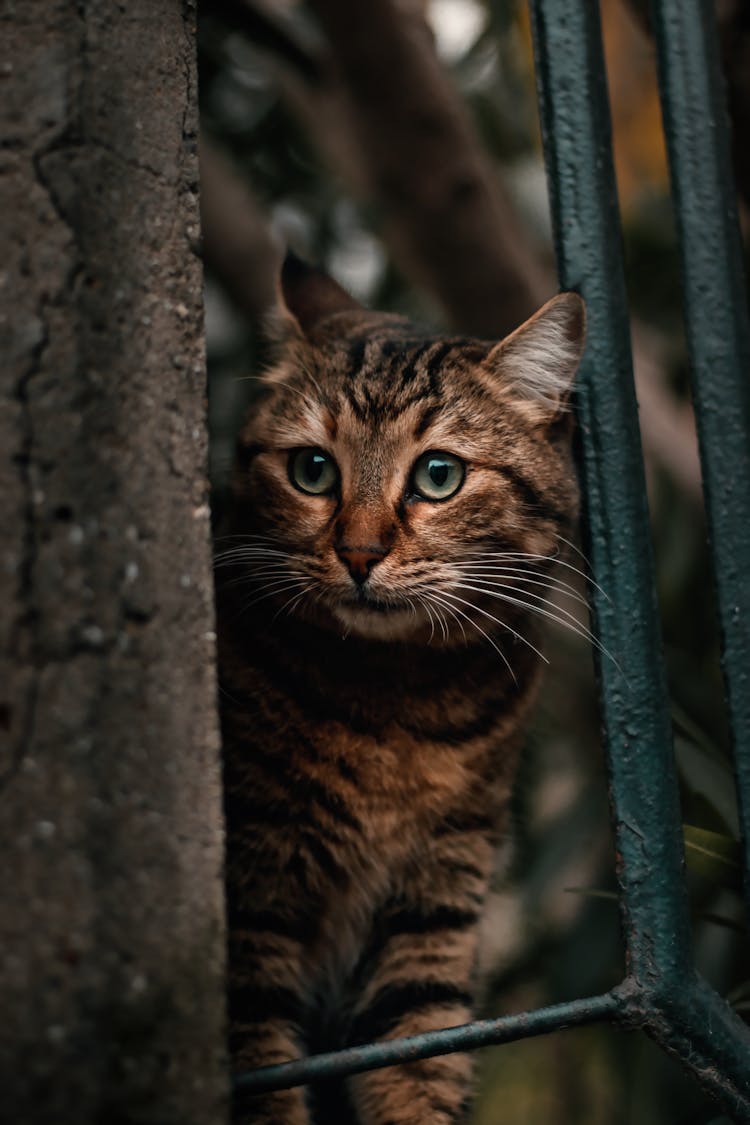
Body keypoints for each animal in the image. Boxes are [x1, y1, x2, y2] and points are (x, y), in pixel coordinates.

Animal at [215, 255, 584, 1125]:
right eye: (312, 469)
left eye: (438, 475)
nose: (358, 552)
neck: (396, 708)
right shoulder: (253, 895)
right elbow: (263, 1068)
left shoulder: (436, 893)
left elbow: (416, 1054)